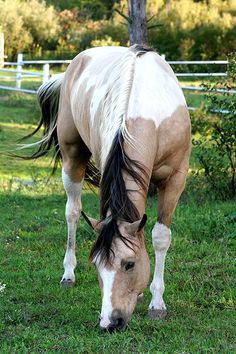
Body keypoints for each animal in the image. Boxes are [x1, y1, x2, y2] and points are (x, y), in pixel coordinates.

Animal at [23, 45, 191, 332]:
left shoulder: (175, 179)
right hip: (72, 157)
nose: (109, 322)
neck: (145, 113)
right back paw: (68, 274)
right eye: (96, 265)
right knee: (72, 212)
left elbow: (160, 237)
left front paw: (157, 303)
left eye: (129, 264)